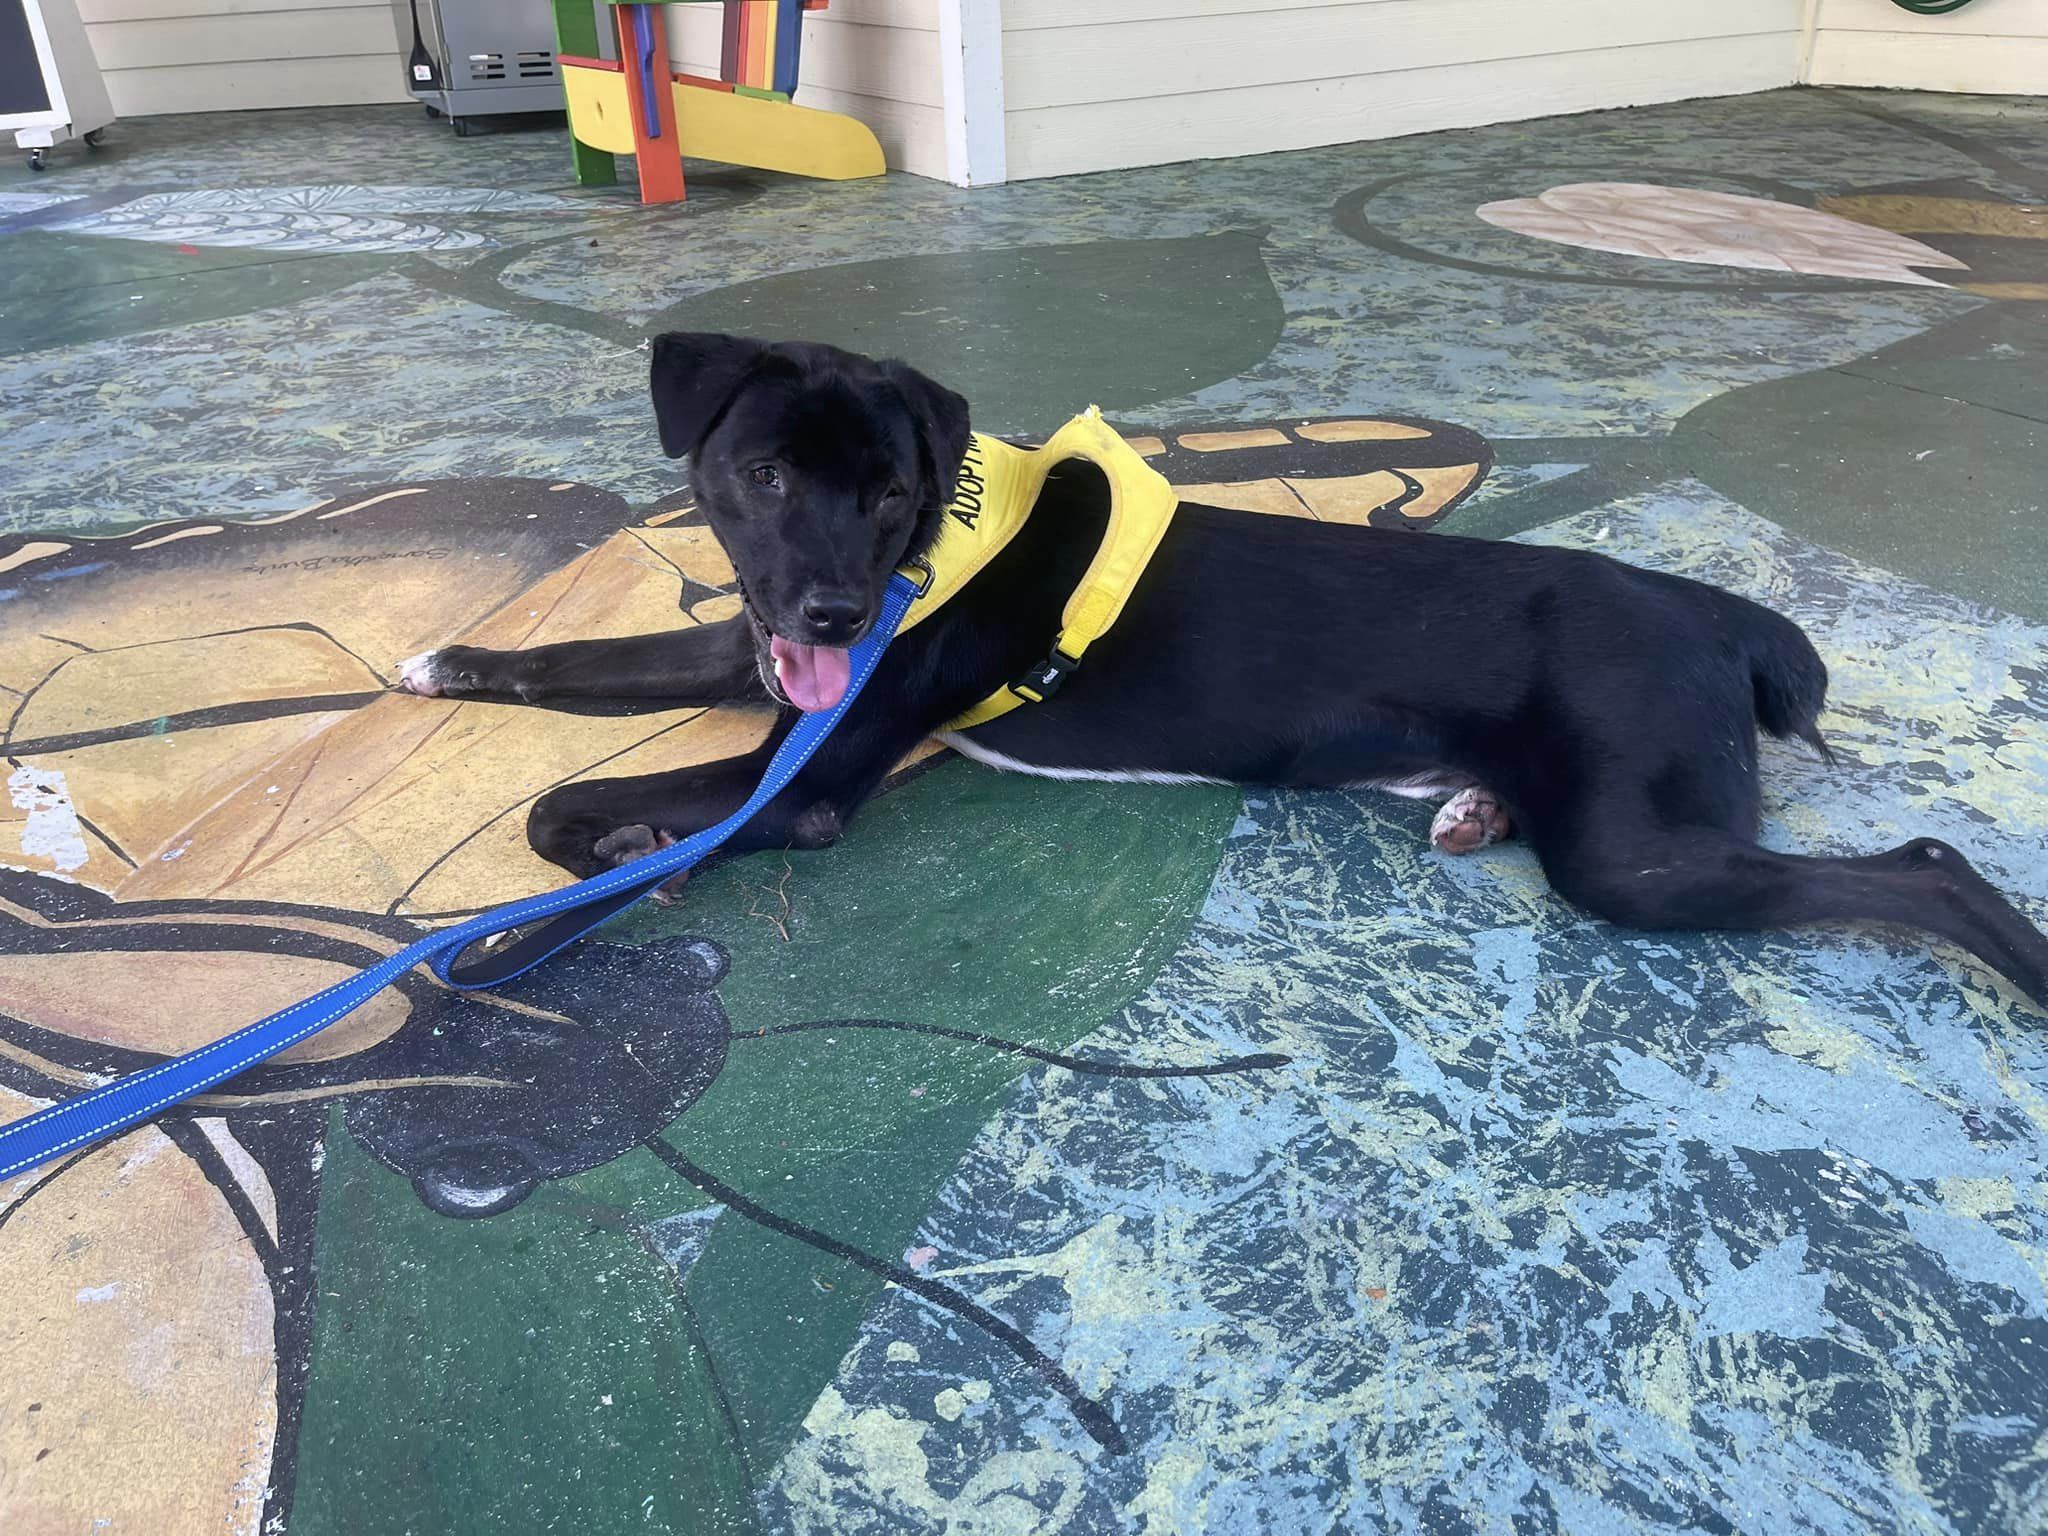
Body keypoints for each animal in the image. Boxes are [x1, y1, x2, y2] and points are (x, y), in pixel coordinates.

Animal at [399, 335, 2048, 1011]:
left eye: (892, 491)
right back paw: (1469, 810)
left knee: (1928, 865)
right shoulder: (759, 658)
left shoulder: (807, 776)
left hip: (1638, 856)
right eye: (760, 476)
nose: (834, 606)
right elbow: (592, 663)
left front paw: (585, 875)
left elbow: (570, 813)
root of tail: (1715, 610)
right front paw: (452, 661)